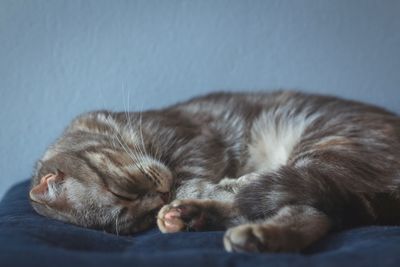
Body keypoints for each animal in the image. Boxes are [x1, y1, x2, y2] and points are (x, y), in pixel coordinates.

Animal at [29, 91, 400, 253]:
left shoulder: (197, 141)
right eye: (136, 220)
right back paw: (196, 218)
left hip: (327, 143)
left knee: (309, 209)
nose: (159, 199)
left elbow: (191, 180)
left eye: (123, 190)